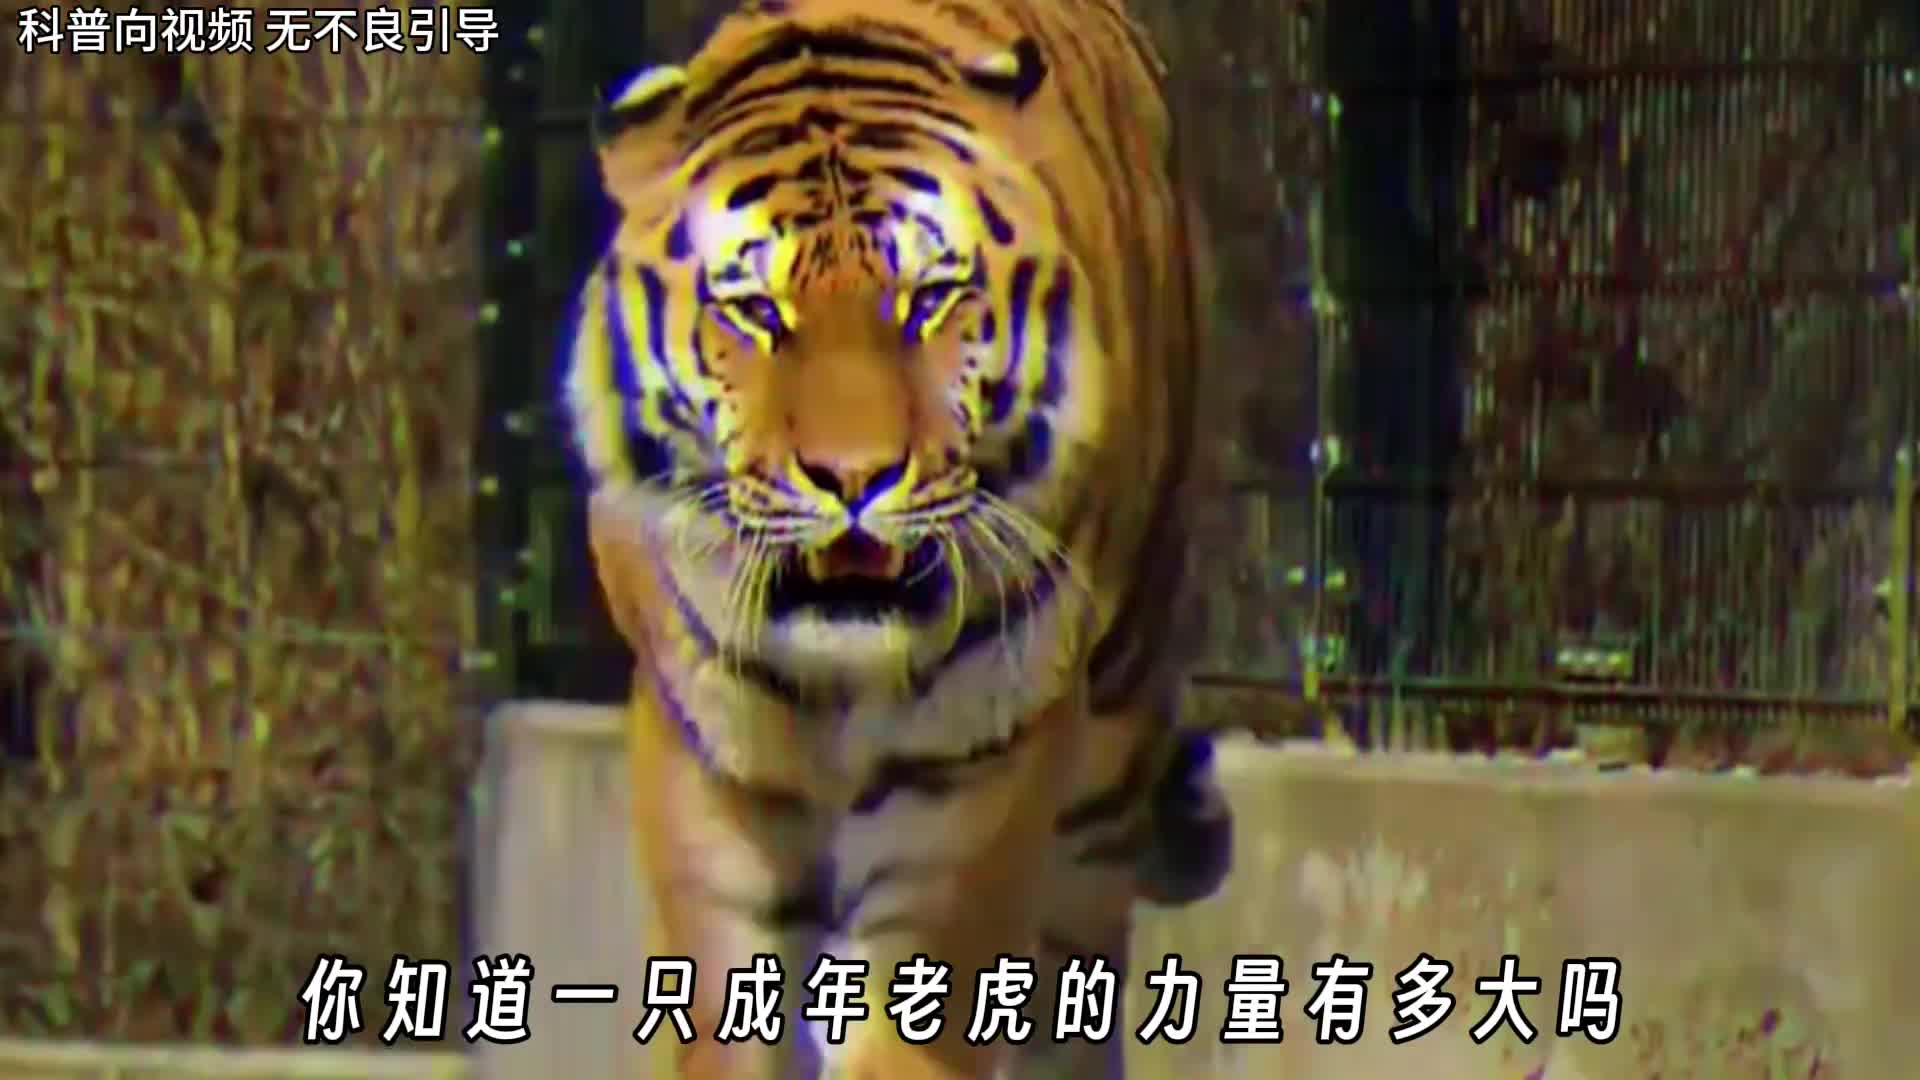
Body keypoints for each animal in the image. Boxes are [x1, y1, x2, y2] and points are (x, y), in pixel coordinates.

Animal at [561, 0, 1231, 1075]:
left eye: (927, 299)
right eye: (757, 312)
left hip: (1107, 758)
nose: (853, 475)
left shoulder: (966, 805)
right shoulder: (709, 789)